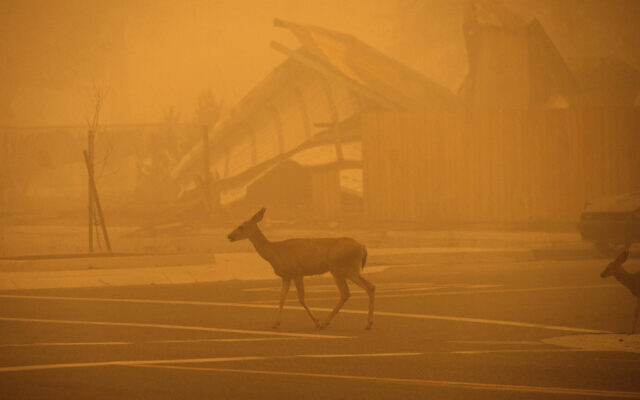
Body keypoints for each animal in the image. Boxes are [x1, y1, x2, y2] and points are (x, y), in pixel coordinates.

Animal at [227, 208, 375, 330]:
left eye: (241, 227)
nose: (229, 236)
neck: (274, 252)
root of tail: (362, 247)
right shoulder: (286, 276)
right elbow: (281, 298)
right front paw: (275, 323)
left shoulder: (297, 272)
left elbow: (301, 299)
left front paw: (316, 322)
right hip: (348, 269)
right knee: (369, 287)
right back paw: (368, 323)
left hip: (341, 268)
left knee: (347, 292)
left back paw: (326, 322)